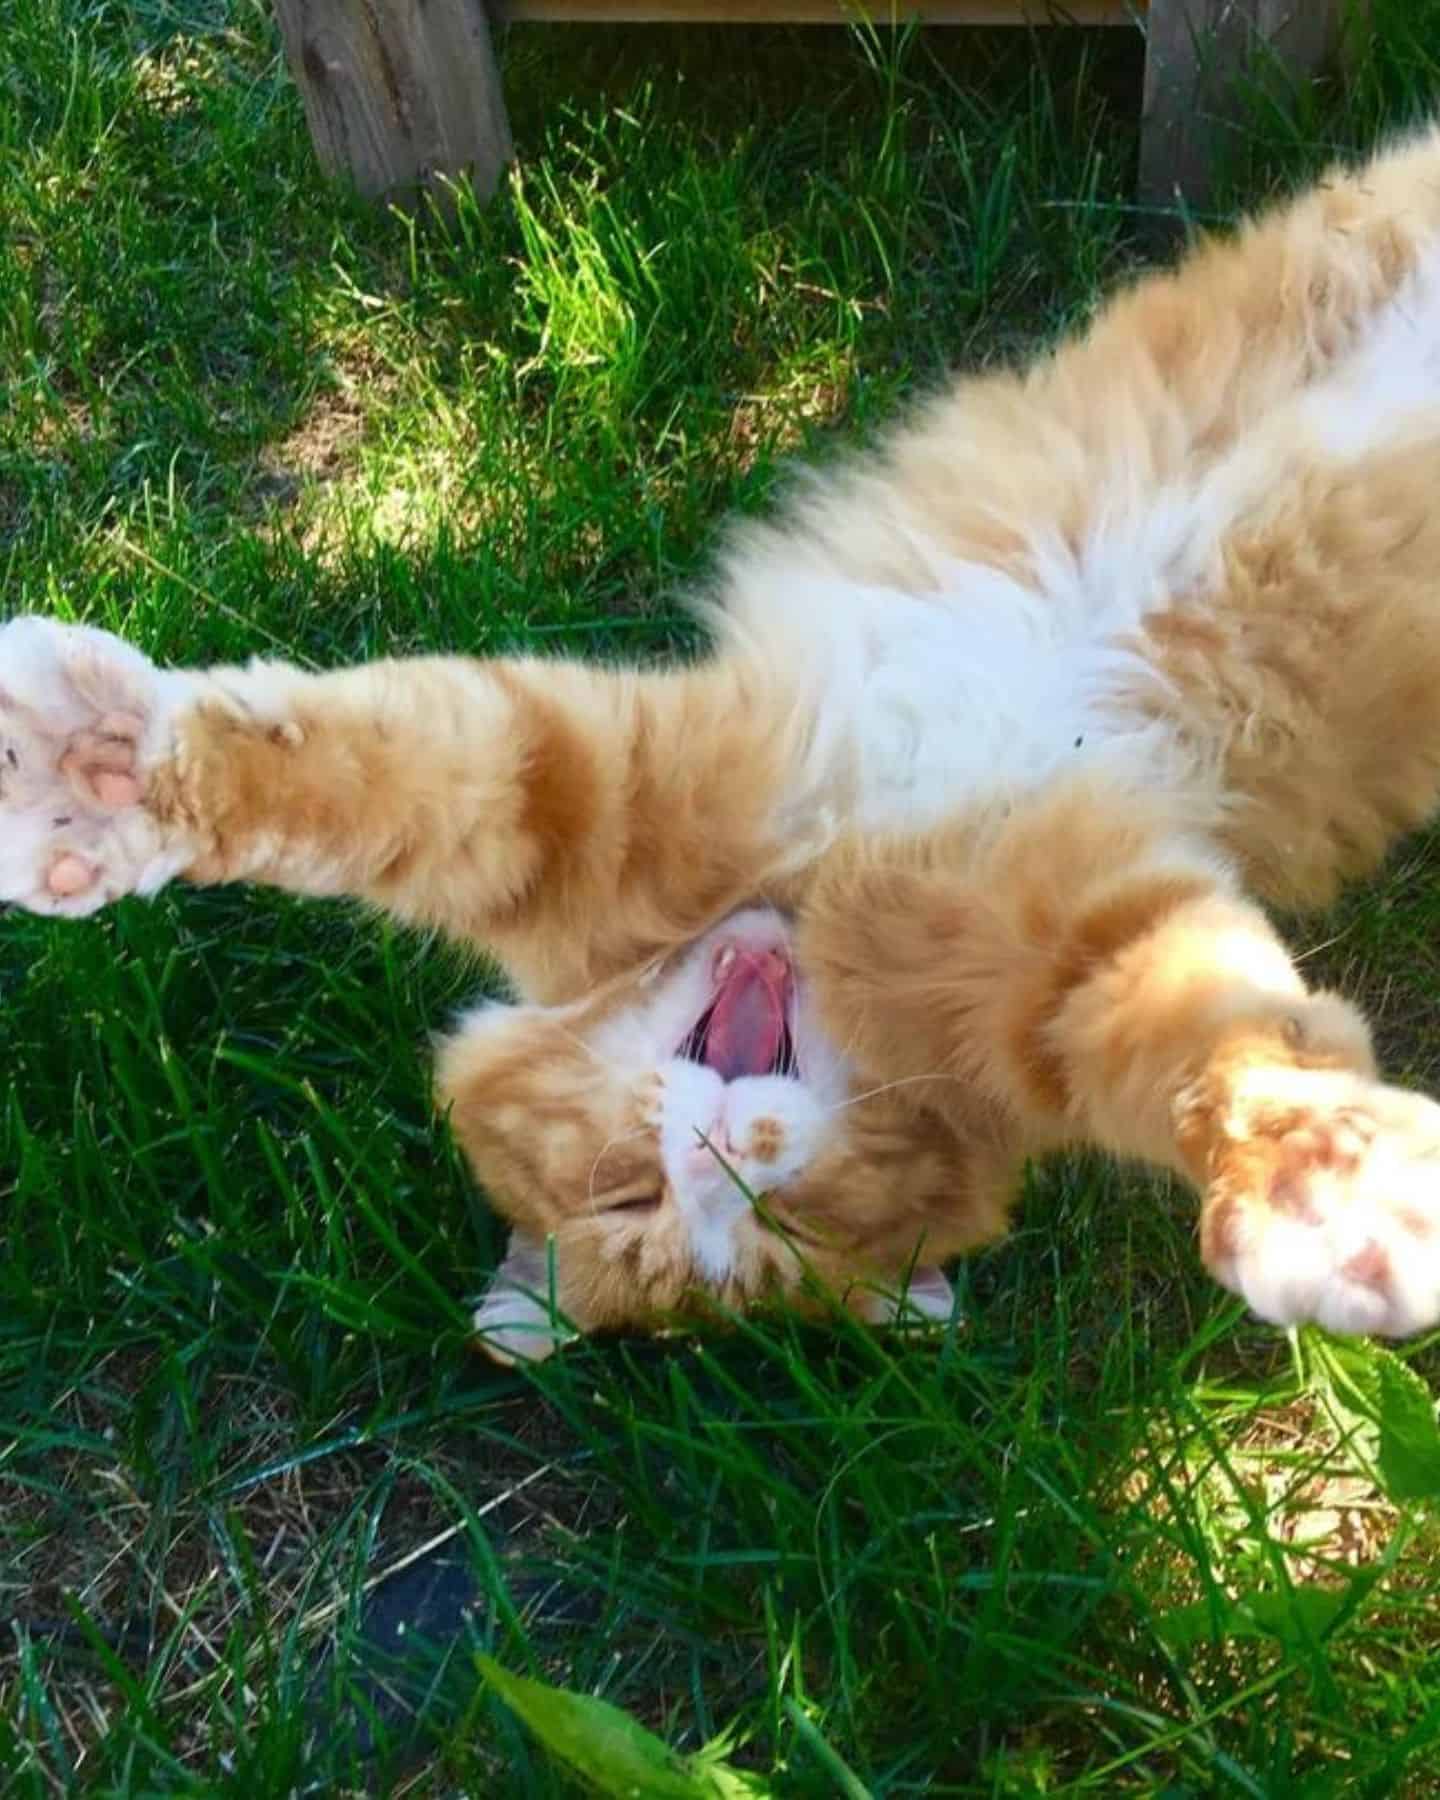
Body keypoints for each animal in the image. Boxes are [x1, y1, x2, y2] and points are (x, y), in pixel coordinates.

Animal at [8, 126, 1440, 1353]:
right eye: (641, 1201)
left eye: (771, 1215)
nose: (711, 1151)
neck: (809, 887)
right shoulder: (1043, 923)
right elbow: (369, 779)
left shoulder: (633, 787)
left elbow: (1234, 1058)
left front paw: (1319, 1197)